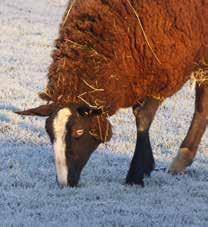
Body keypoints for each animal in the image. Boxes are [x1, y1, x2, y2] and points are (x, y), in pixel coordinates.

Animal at [16, 0, 208, 187]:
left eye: (79, 132)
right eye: (48, 132)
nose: (64, 183)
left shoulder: (167, 70)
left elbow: (143, 116)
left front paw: (136, 174)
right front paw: (146, 166)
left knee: (201, 107)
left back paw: (182, 158)